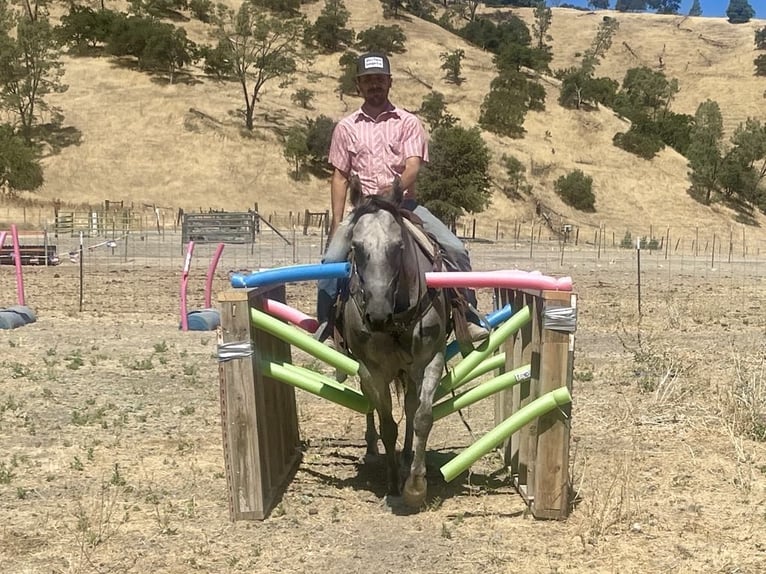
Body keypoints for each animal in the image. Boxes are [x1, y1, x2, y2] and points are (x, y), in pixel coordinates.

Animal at [334, 179, 450, 508]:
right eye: (356, 247)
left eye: (398, 247)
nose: (377, 316)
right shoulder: (373, 370)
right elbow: (387, 425)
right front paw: (393, 482)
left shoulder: (431, 360)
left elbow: (422, 416)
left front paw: (416, 485)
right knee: (370, 404)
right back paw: (373, 450)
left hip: (410, 371)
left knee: (410, 407)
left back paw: (408, 454)